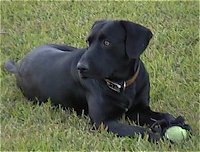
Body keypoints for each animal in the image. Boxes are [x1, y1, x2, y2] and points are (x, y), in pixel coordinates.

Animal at [4, 20, 190, 141]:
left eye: (107, 42)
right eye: (89, 42)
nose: (80, 67)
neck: (122, 84)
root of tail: (19, 66)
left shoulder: (139, 109)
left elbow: (163, 115)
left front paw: (172, 122)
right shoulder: (103, 122)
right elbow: (138, 131)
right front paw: (162, 137)